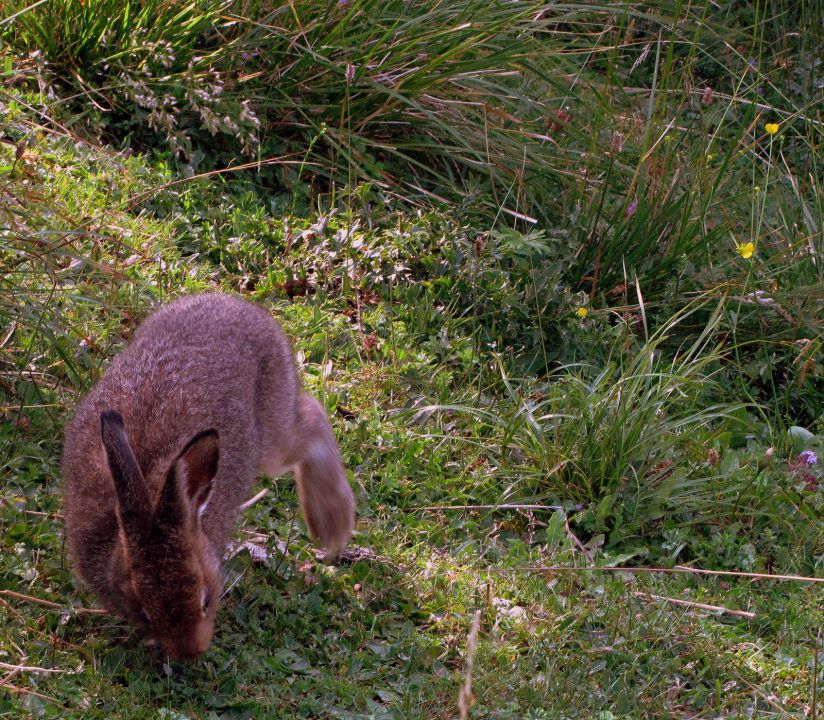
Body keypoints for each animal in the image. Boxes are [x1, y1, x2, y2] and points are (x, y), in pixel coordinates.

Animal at [63, 292, 354, 660]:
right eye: (144, 613)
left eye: (205, 598)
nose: (190, 653)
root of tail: (234, 305)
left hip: (272, 435)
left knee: (312, 418)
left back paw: (330, 522)